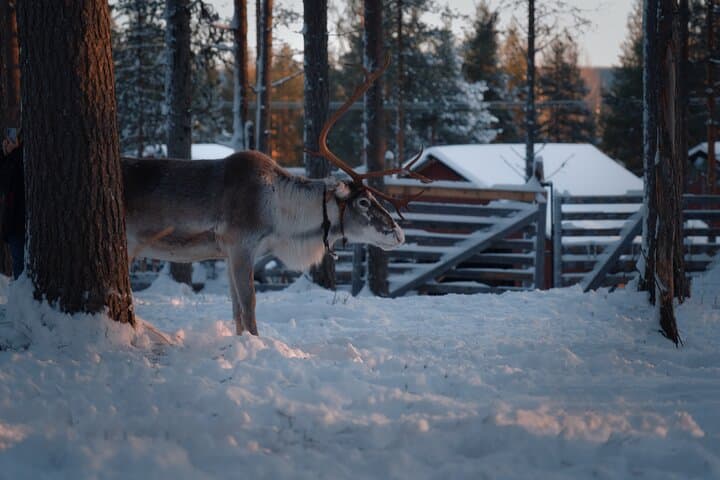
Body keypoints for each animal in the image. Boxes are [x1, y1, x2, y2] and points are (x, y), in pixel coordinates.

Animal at [122, 56, 430, 335]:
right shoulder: (240, 244)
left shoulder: (229, 252)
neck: (282, 218)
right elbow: (249, 305)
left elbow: (236, 309)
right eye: (364, 202)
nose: (398, 233)